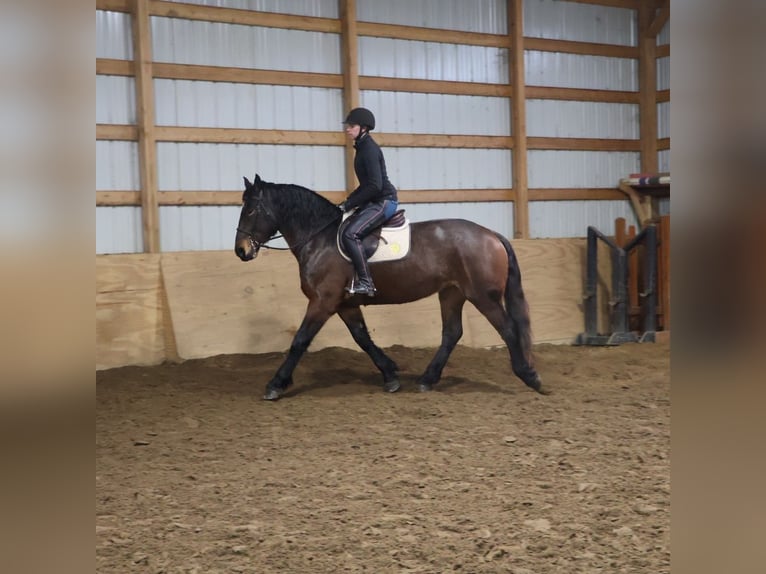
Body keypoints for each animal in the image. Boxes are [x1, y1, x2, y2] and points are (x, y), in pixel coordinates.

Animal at [234, 174, 548, 400]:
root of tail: (492, 234)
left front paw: (276, 384)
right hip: (452, 293)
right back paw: (427, 379)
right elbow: (362, 338)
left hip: (483, 296)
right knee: (452, 333)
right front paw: (390, 374)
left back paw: (530, 377)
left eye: (250, 210)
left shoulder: (323, 301)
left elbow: (300, 341)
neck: (319, 238)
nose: (241, 250)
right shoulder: (345, 304)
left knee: (508, 329)